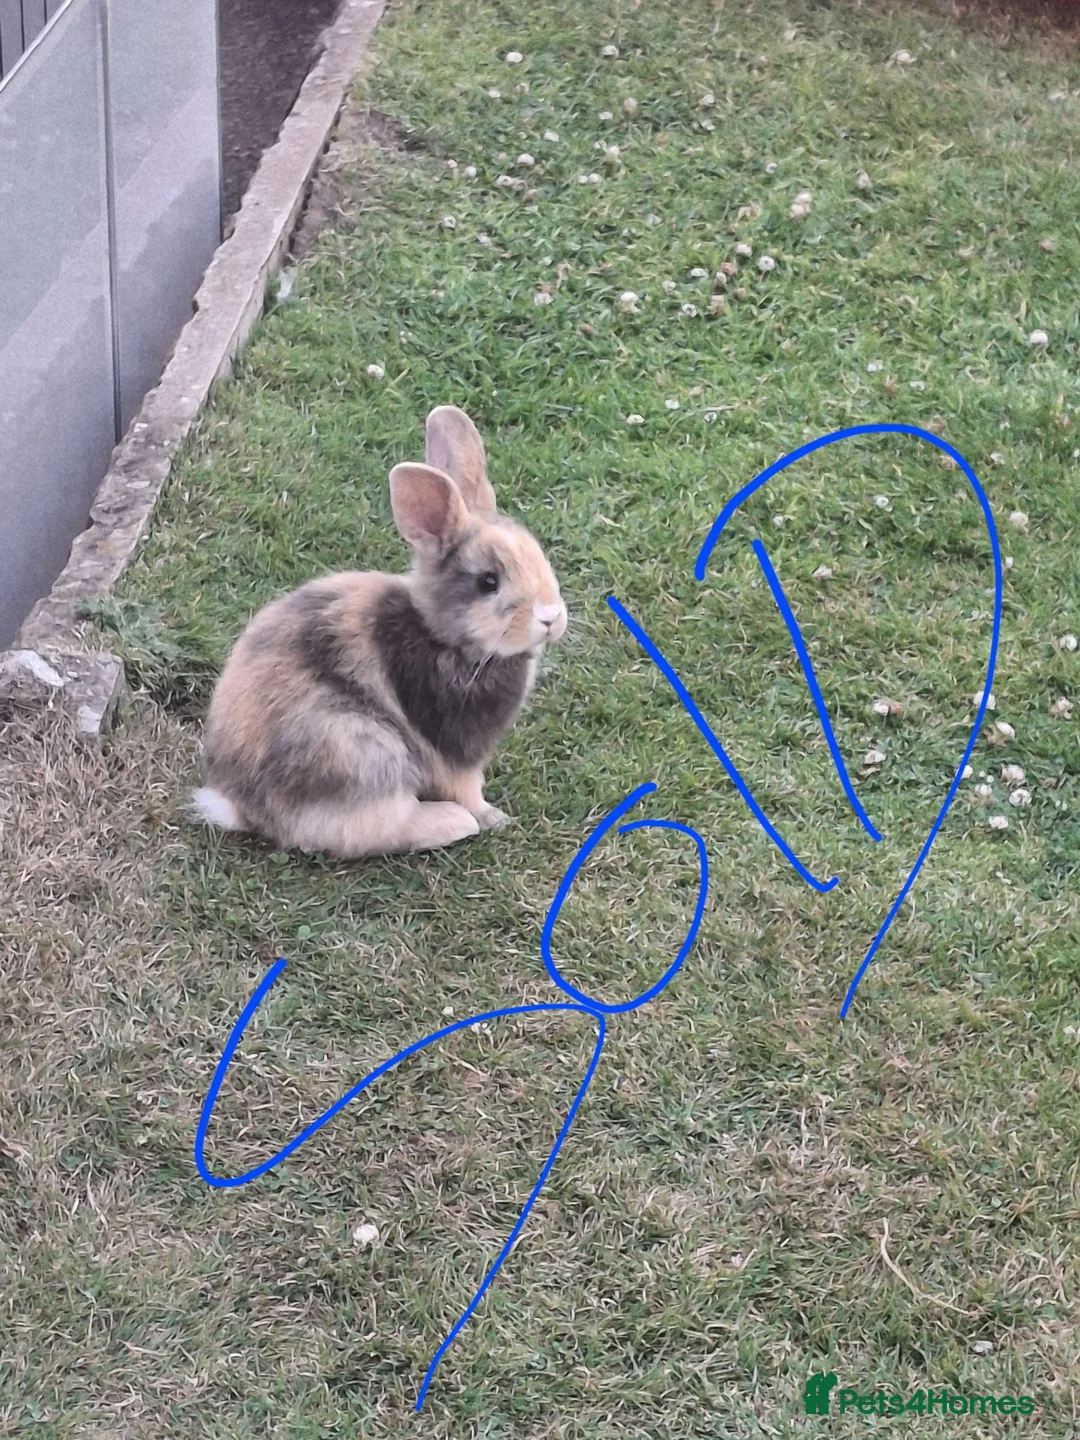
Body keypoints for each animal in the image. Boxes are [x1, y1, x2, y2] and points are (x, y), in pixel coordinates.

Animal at [189, 405, 567, 859]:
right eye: (488, 582)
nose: (551, 617)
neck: (445, 636)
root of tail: (241, 806)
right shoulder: (453, 751)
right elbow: (467, 789)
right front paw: (493, 817)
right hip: (363, 751)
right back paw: (451, 823)